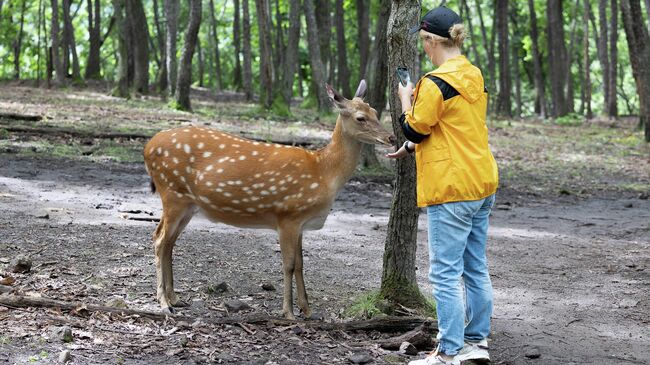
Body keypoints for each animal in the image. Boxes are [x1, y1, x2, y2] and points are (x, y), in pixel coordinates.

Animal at [144, 80, 392, 318]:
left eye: (375, 111)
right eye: (360, 117)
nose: (390, 137)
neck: (323, 171)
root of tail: (147, 147)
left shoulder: (300, 223)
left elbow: (301, 264)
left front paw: (307, 310)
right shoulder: (288, 215)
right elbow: (288, 265)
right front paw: (288, 312)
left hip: (187, 204)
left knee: (168, 241)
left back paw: (175, 298)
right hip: (172, 193)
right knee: (159, 240)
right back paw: (164, 303)